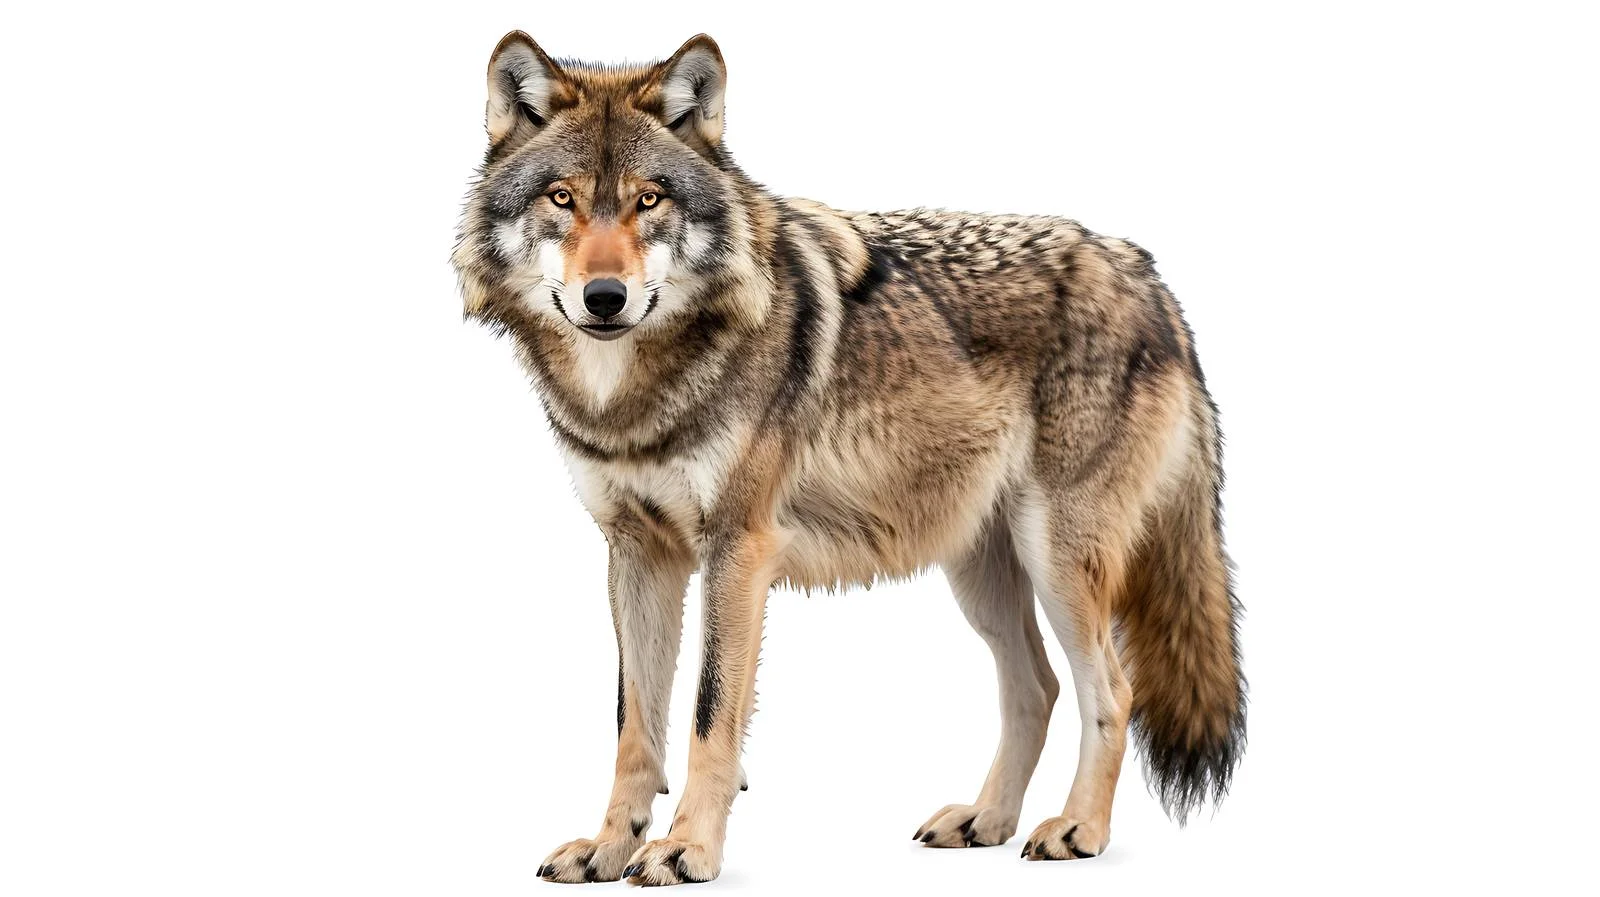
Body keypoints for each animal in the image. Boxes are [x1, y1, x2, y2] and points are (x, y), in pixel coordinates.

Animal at [453, 32, 1246, 886]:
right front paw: (609, 844)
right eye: (562, 198)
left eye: (650, 200)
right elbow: (636, 722)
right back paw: (987, 820)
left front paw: (687, 848)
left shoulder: (738, 550)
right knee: (1036, 686)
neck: (634, 395)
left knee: (1114, 689)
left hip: (1057, 559)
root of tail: (1150, 278)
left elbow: (707, 715)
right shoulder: (636, 552)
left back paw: (1078, 828)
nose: (605, 297)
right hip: (981, 569)